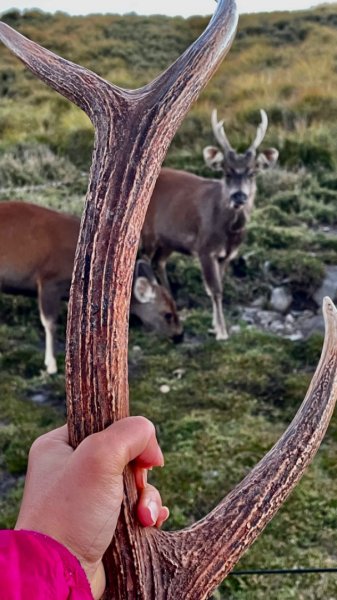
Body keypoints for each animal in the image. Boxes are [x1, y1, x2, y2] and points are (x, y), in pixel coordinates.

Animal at [0, 199, 182, 372]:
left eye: (175, 306)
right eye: (167, 314)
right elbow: (50, 323)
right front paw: (51, 364)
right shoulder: (49, 280)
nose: (180, 336)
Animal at [141, 109, 278, 340]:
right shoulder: (205, 248)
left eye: (252, 172)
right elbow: (215, 290)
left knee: (158, 263)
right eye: (226, 172)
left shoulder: (226, 255)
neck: (228, 232)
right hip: (147, 233)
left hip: (167, 241)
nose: (239, 196)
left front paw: (215, 326)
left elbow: (218, 286)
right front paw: (222, 332)